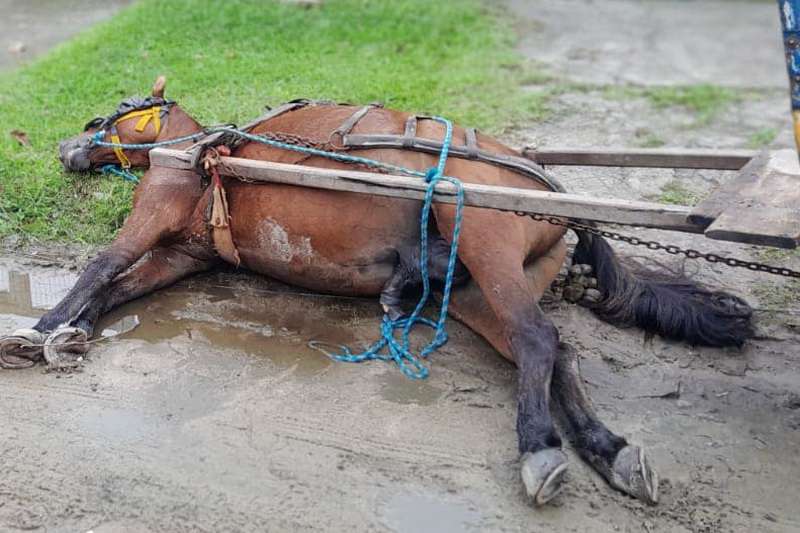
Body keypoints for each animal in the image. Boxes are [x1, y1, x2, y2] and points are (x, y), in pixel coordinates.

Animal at [6, 77, 755, 507]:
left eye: (112, 113)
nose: (65, 150)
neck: (204, 150)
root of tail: (548, 186)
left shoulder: (154, 216)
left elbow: (101, 268)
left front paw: (39, 332)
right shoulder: (185, 256)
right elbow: (120, 287)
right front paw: (71, 333)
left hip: (478, 233)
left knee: (539, 338)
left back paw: (540, 445)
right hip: (483, 289)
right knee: (548, 350)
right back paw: (605, 447)